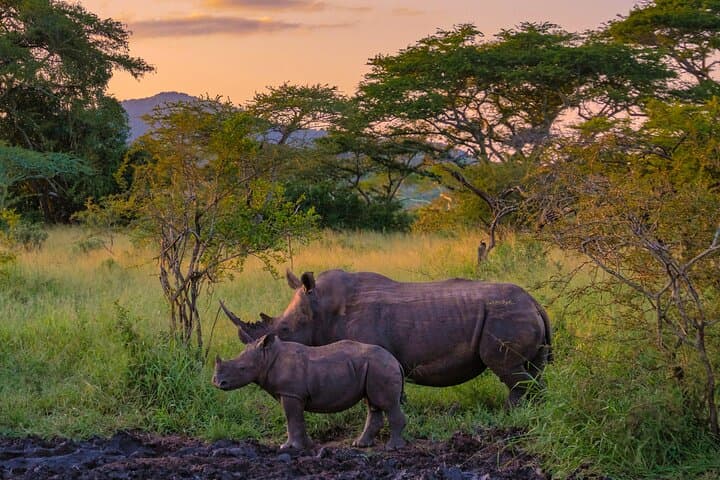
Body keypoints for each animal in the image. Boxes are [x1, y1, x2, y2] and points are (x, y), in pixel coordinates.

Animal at [213, 334, 407, 450]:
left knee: (387, 404)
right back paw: (360, 445)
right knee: (373, 404)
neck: (268, 357)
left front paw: (289, 447)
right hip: (374, 367)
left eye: (242, 368)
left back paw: (392, 447)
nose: (216, 382)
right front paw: (307, 445)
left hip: (381, 367)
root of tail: (396, 361)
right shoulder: (293, 394)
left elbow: (292, 418)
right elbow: (297, 419)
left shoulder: (291, 393)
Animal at [221, 269, 552, 406]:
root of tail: (536, 302)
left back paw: (512, 412)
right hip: (517, 312)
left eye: (285, 331)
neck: (322, 306)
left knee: (507, 368)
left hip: (505, 315)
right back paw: (533, 410)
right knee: (532, 369)